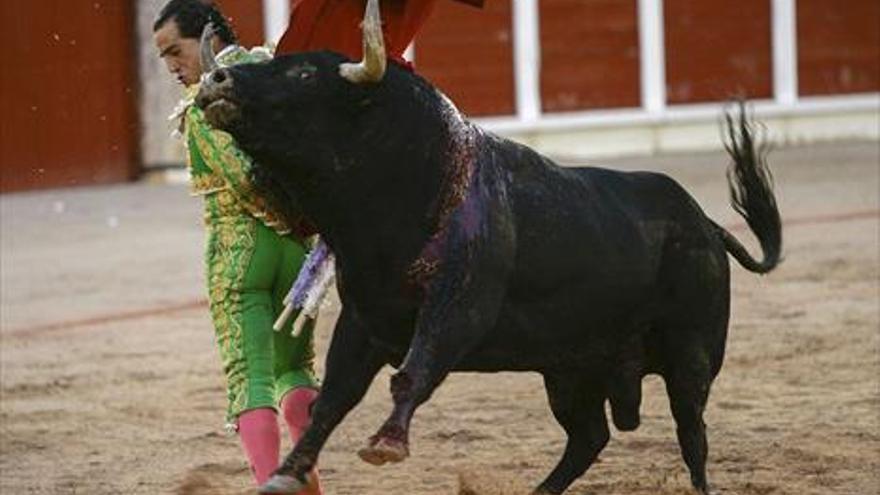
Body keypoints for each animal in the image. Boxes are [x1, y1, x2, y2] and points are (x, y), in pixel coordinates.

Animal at [194, 1, 784, 494]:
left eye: (304, 74)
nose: (216, 79)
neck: (414, 181)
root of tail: (707, 225)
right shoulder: (366, 319)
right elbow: (331, 399)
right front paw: (287, 471)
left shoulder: (458, 308)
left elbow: (415, 370)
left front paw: (386, 444)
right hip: (571, 369)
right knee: (589, 436)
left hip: (691, 355)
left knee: (692, 434)